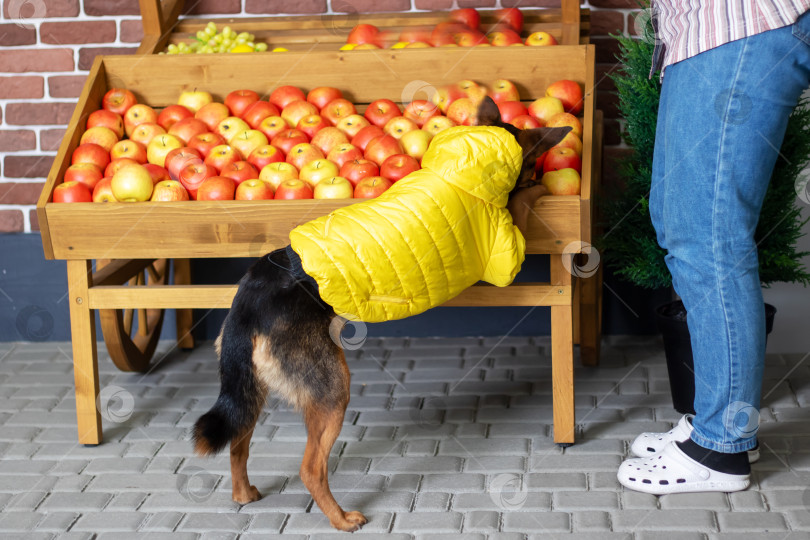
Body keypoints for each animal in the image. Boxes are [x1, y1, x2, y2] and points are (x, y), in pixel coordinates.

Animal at [193, 97, 568, 532]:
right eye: (532, 165)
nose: (537, 173)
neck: (465, 164)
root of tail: (249, 296)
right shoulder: (504, 254)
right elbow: (520, 206)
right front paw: (536, 188)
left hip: (249, 386)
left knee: (237, 442)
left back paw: (244, 494)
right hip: (331, 389)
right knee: (310, 468)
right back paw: (342, 519)